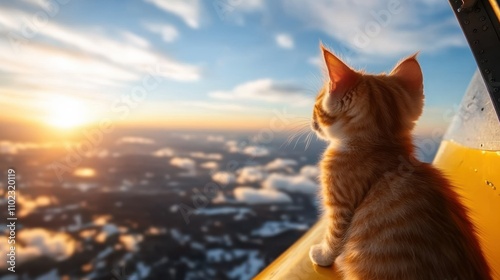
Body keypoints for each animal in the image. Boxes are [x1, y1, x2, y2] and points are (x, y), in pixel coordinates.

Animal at [308, 46, 492, 280]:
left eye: (316, 106)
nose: (311, 121)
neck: (384, 144)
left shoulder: (341, 207)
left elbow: (334, 237)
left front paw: (322, 255)